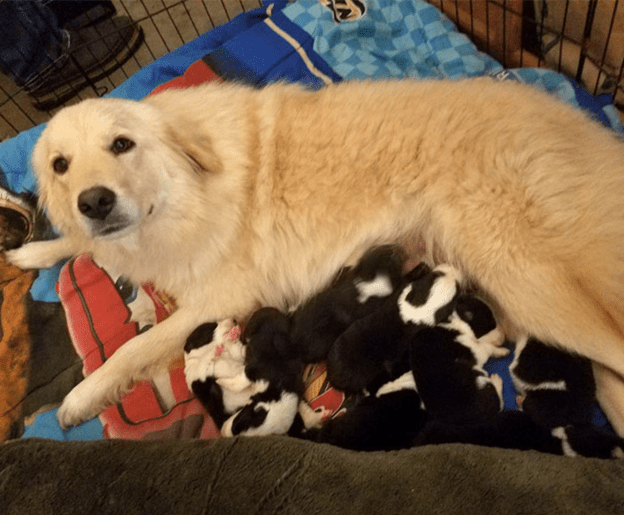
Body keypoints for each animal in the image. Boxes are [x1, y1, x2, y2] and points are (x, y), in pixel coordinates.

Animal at [7, 77, 624, 436]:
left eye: (122, 144)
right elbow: (79, 242)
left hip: (524, 278)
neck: (185, 189)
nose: (94, 201)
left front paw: (81, 396)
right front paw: (35, 248)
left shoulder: (221, 298)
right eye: (60, 165)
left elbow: (131, 350)